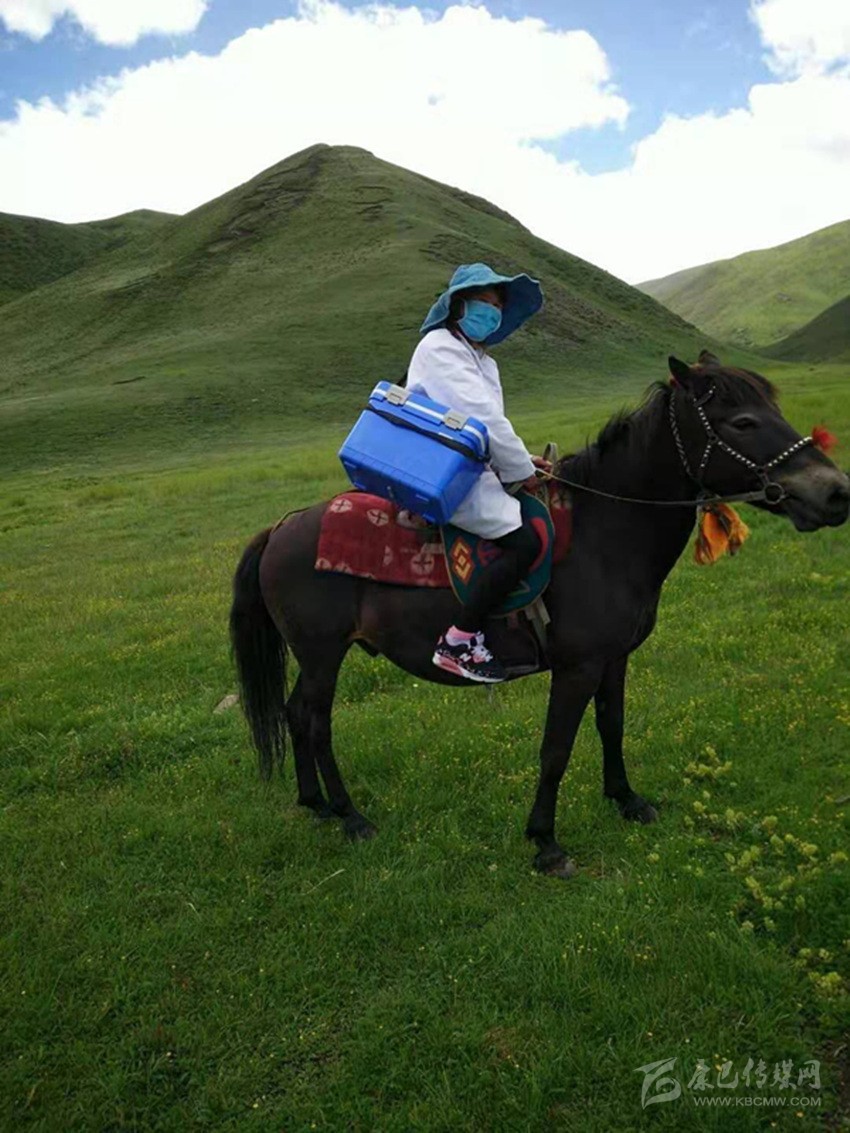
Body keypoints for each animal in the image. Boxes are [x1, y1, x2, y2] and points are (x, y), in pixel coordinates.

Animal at [229, 353, 849, 877]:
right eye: (742, 421)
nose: (836, 492)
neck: (606, 532)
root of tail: (282, 526)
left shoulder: (614, 659)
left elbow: (611, 726)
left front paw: (627, 800)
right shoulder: (577, 668)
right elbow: (556, 750)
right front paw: (546, 842)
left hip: (314, 657)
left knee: (294, 714)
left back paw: (316, 804)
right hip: (322, 654)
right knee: (314, 721)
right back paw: (350, 815)